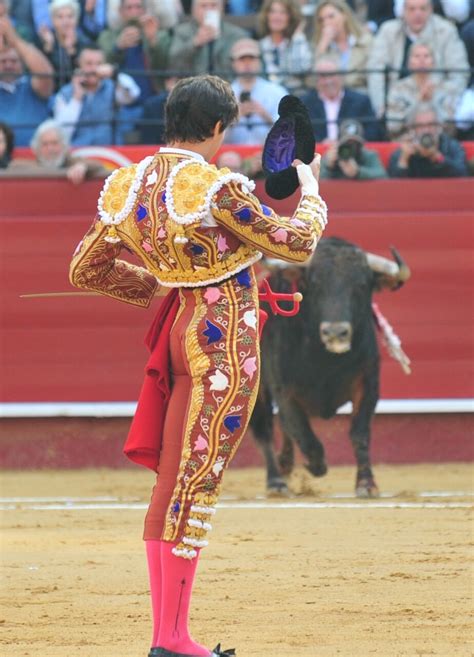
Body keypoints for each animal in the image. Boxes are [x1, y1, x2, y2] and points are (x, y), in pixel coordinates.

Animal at [252, 236, 412, 498]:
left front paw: (366, 483)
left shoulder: (368, 385)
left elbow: (359, 433)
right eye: (315, 285)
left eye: (361, 285)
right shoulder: (285, 392)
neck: (326, 361)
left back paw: (285, 465)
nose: (335, 332)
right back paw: (276, 482)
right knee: (264, 427)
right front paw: (315, 465)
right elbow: (305, 435)